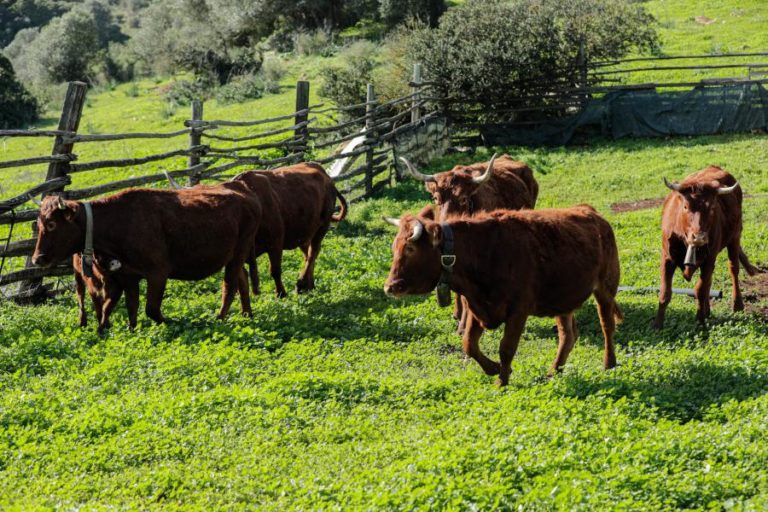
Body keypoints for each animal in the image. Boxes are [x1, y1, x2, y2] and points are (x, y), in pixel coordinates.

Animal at [32, 182, 262, 325]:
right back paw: (247, 314)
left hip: (239, 251)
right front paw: (131, 330)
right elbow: (132, 307)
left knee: (229, 286)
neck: (118, 222)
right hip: (233, 256)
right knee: (242, 279)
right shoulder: (128, 276)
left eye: (51, 224)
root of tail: (244, 192)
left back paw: (219, 318)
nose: (37, 259)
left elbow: (151, 309)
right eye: (39, 224)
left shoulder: (158, 272)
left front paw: (172, 322)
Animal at [232, 162, 347, 294]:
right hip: (305, 233)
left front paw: (281, 293)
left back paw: (301, 284)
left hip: (322, 226)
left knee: (313, 253)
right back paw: (310, 285)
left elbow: (275, 270)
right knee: (308, 254)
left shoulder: (276, 243)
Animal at [383, 205, 622, 386]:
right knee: (567, 335)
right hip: (562, 299)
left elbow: (506, 347)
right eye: (394, 247)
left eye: (410, 249)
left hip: (606, 288)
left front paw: (502, 381)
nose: (390, 287)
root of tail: (591, 212)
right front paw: (494, 369)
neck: (482, 252)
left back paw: (609, 363)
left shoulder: (518, 310)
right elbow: (469, 344)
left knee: (607, 325)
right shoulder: (476, 306)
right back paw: (555, 369)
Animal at [653, 166, 763, 328]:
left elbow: (700, 290)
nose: (699, 237)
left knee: (733, 269)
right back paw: (708, 310)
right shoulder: (667, 258)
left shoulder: (709, 259)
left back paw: (737, 304)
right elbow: (665, 292)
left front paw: (700, 320)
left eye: (711, 208)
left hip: (735, 238)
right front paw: (657, 325)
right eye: (685, 206)